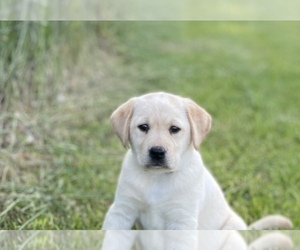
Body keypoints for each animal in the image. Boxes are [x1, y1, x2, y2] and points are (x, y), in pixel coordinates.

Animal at [102, 92, 292, 230]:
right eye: (143, 127)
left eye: (174, 129)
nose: (157, 152)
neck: (157, 177)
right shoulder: (122, 209)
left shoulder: (181, 219)